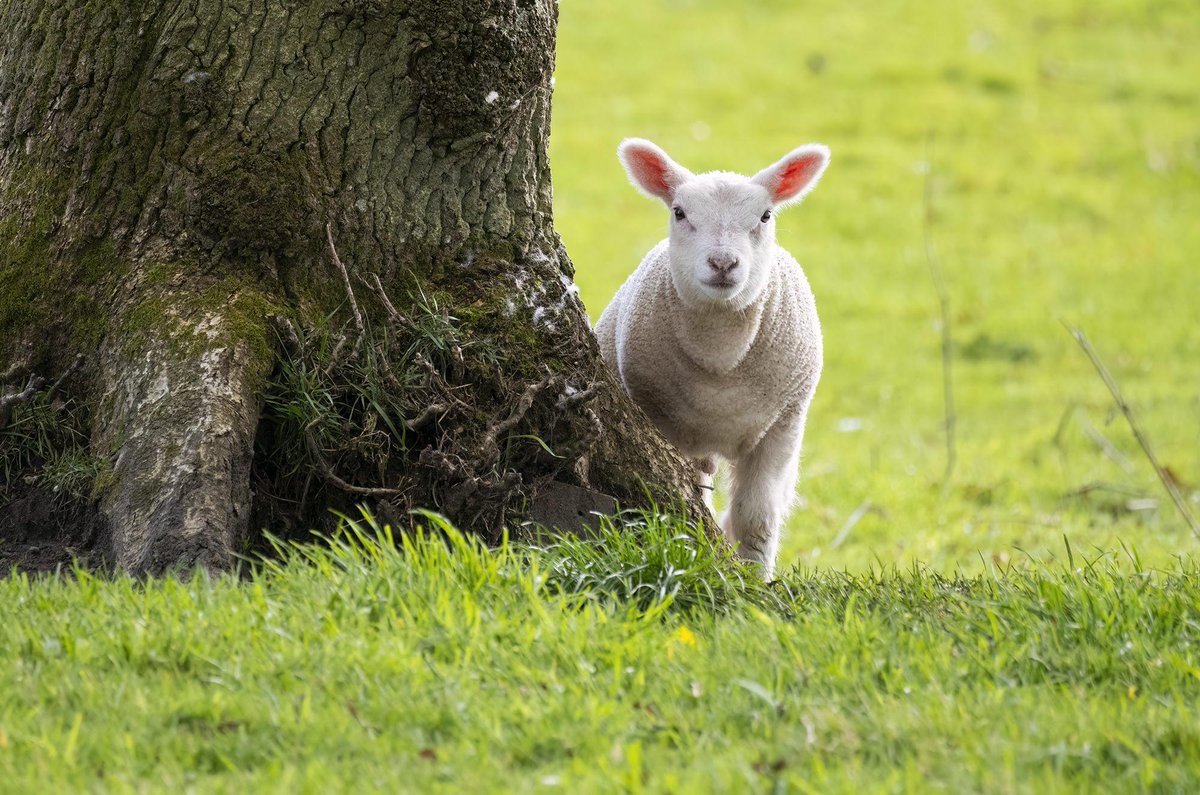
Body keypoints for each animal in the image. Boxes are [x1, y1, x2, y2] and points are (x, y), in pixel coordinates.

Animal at [595, 138, 830, 578]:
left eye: (766, 215)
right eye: (679, 212)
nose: (723, 263)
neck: (721, 361)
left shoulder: (784, 425)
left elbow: (756, 517)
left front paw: (756, 578)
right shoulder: (660, 420)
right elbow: (682, 496)